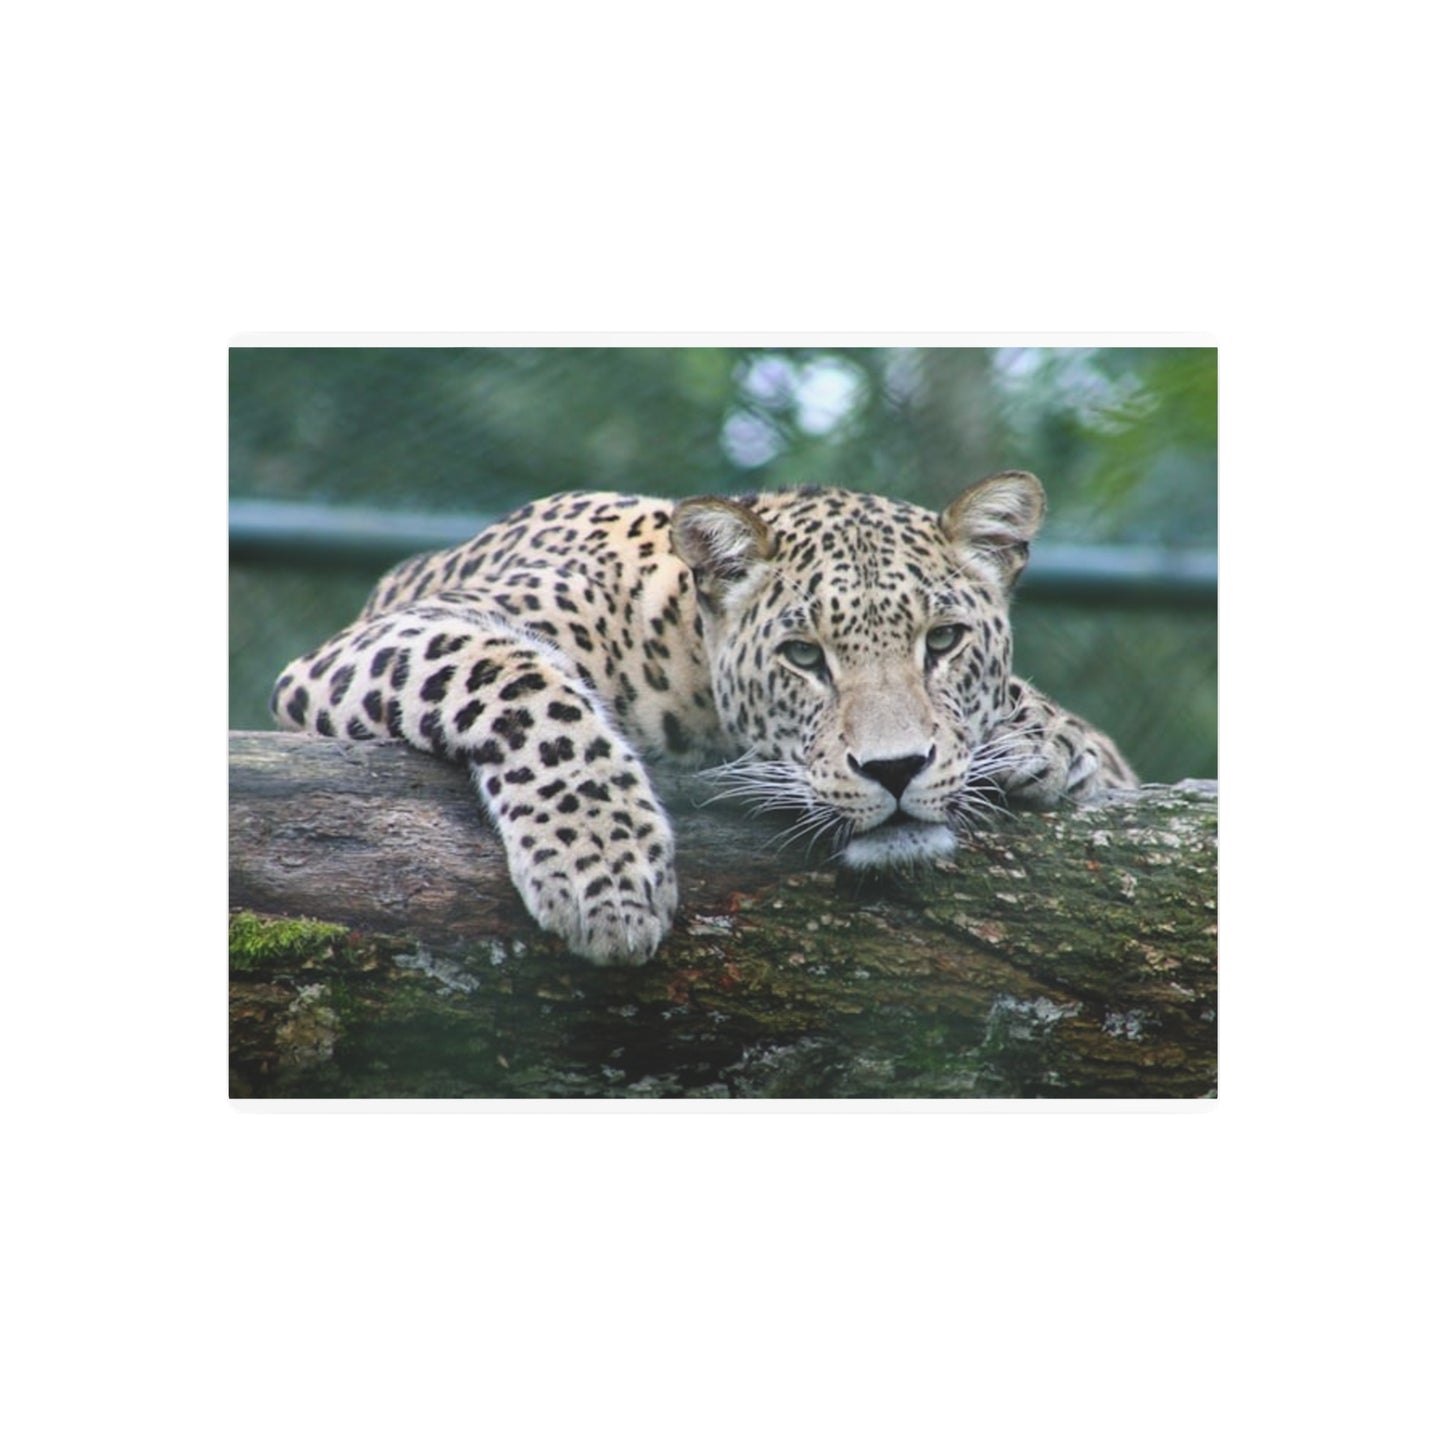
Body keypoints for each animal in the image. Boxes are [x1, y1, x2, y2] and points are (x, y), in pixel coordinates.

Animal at [271, 470, 1136, 965]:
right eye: (802, 656)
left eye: (945, 641)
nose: (894, 770)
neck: (681, 648)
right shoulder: (379, 641)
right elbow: (523, 682)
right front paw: (605, 871)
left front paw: (1053, 742)